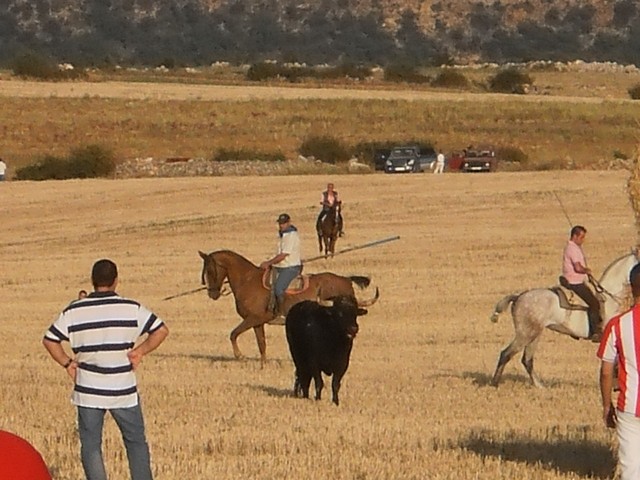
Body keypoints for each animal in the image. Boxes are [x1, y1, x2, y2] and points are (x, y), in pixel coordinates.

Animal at [199, 248, 380, 364]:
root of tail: (346, 280)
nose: (212, 293)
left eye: (210, 270)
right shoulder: (257, 323)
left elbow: (233, 334)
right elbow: (261, 343)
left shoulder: (253, 318)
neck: (248, 280)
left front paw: (240, 356)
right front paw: (263, 365)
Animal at [490, 251, 636, 386]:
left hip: (534, 334)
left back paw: (539, 385)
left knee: (527, 359)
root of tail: (518, 297)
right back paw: (495, 383)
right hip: (525, 334)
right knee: (506, 354)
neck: (609, 299)